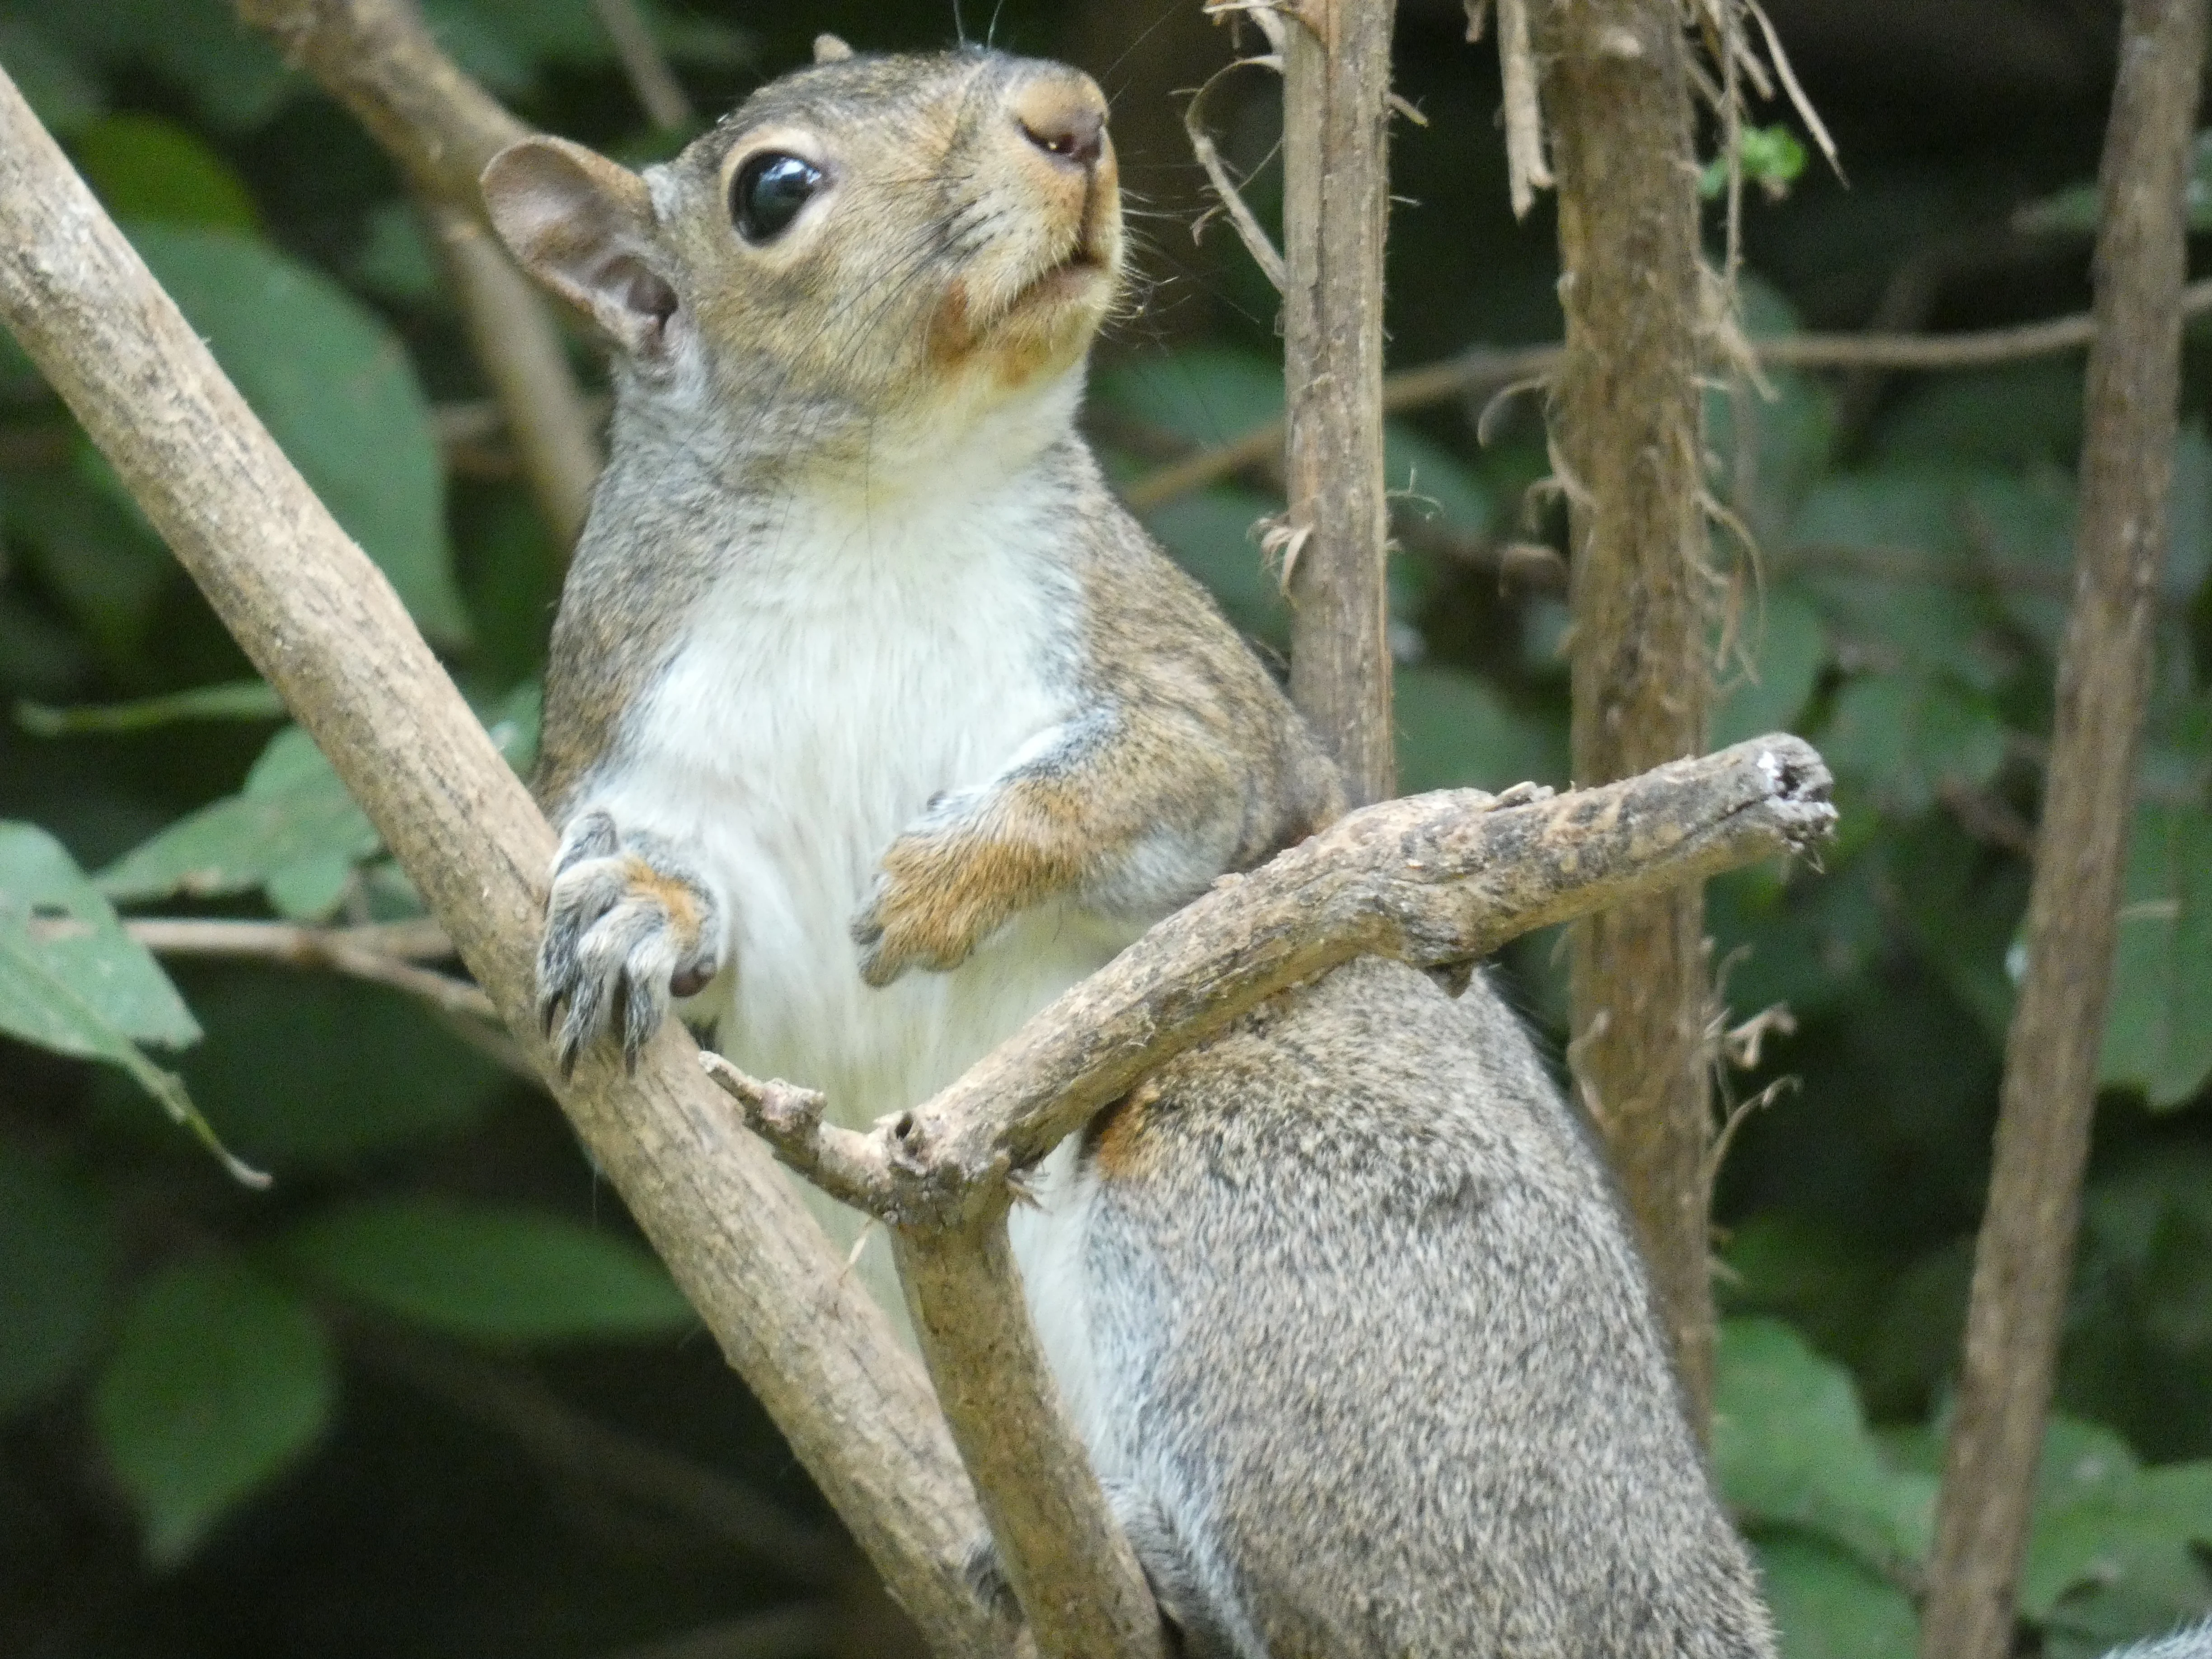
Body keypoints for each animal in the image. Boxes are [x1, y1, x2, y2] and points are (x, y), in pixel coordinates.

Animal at [484, 36, 1777, 1658]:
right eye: (771, 191)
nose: (1070, 115)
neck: (872, 504)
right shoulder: (638, 729)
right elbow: (692, 892)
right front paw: (633, 912)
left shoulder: (1194, 696)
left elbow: (1153, 788)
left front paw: (941, 881)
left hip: (1263, 1196)